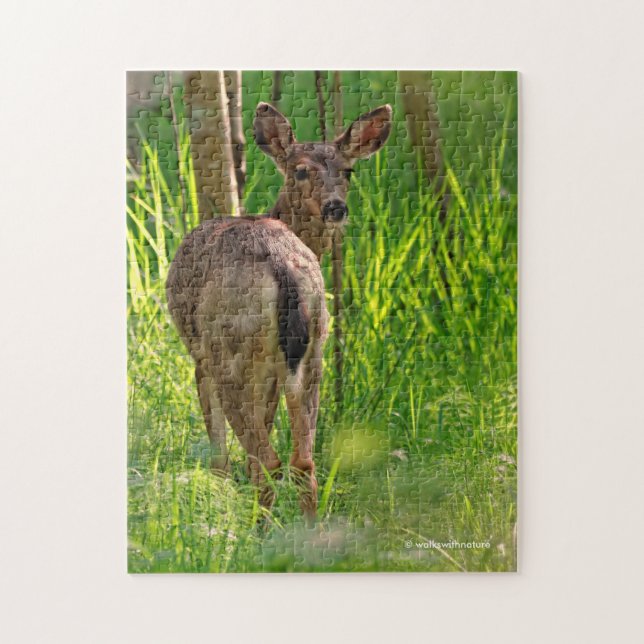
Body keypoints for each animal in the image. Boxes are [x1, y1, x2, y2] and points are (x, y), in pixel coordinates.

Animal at [166, 101, 392, 516]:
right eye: (300, 169)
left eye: (348, 170)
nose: (336, 207)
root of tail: (280, 262)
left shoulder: (200, 358)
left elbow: (219, 450)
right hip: (314, 350)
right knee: (303, 461)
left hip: (229, 351)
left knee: (266, 461)